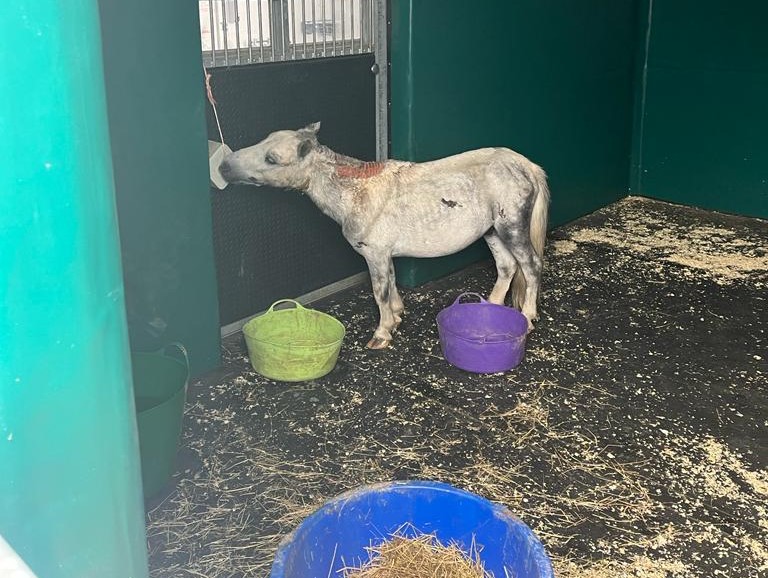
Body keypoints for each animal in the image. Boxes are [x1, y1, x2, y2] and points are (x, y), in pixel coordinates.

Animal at [219, 122, 550, 350]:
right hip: (493, 231)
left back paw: (528, 317)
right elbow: (390, 282)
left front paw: (382, 333)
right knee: (507, 266)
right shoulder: (384, 254)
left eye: (272, 159)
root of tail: (525, 165)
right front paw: (397, 315)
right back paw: (491, 306)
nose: (224, 167)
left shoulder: (374, 253)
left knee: (531, 266)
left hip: (511, 228)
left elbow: (379, 291)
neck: (355, 192)